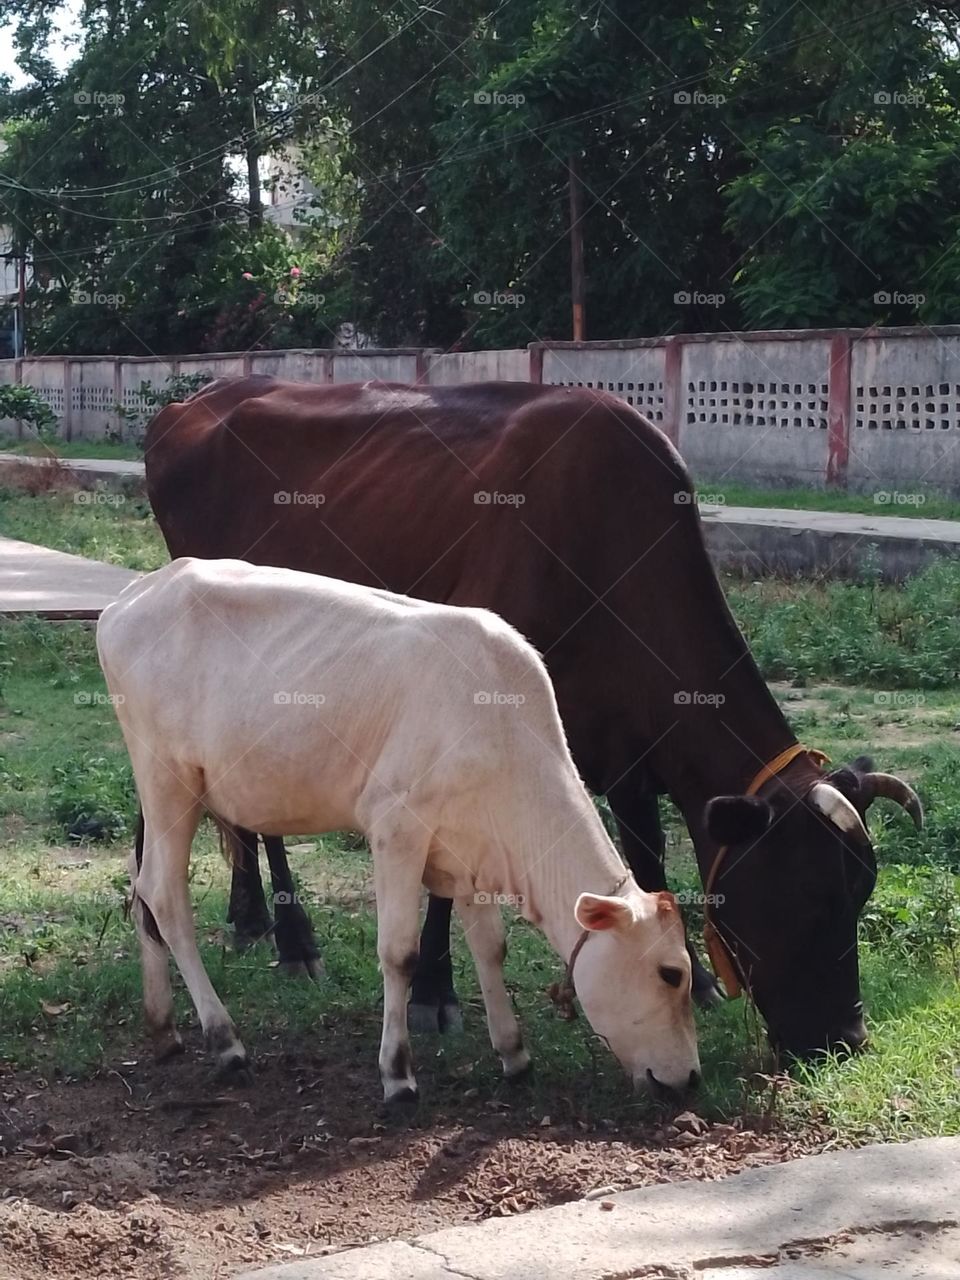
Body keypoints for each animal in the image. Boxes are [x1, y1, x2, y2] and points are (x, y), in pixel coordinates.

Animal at [97, 557, 701, 1100]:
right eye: (672, 973)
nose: (692, 1080)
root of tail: (138, 592)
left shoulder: (470, 848)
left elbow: (491, 946)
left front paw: (514, 1054)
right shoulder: (396, 829)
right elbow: (399, 952)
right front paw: (398, 1073)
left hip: (162, 788)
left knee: (139, 881)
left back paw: (163, 1026)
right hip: (169, 777)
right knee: (164, 895)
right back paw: (225, 1042)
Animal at [144, 376, 922, 1060]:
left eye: (862, 891)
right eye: (804, 895)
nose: (846, 1040)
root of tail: (201, 398)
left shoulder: (634, 753)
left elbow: (647, 854)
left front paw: (693, 978)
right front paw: (433, 993)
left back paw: (249, 916)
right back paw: (292, 938)